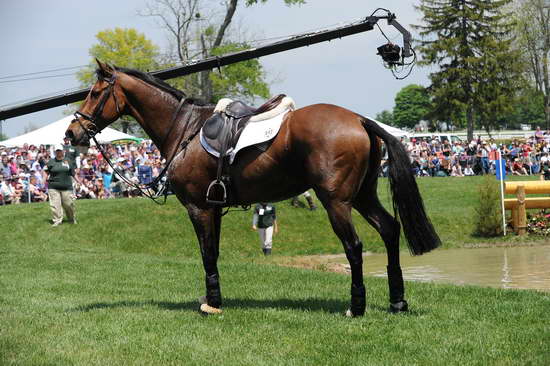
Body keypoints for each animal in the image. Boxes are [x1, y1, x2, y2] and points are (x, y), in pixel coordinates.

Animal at [67, 60, 442, 318]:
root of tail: (359, 119)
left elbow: (207, 253)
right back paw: (397, 300)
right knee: (390, 230)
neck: (187, 130)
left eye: (95, 93)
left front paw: (213, 304)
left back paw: (357, 306)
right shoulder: (214, 207)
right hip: (363, 196)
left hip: (336, 201)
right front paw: (212, 298)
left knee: (354, 246)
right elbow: (214, 252)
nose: (72, 133)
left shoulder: (198, 208)